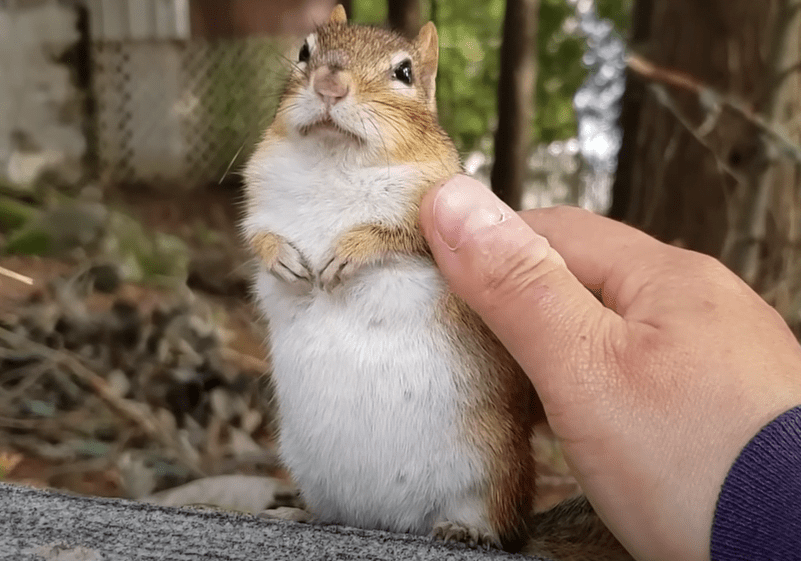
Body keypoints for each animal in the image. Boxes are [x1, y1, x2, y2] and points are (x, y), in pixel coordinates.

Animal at [241, 5, 632, 561]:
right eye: (303, 51)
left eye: (404, 72)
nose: (329, 84)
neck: (333, 164)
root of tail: (383, 520)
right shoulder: (260, 203)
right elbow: (260, 237)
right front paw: (284, 259)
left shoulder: (430, 218)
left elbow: (395, 236)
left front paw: (349, 249)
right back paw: (297, 512)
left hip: (492, 472)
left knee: (496, 525)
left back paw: (469, 531)